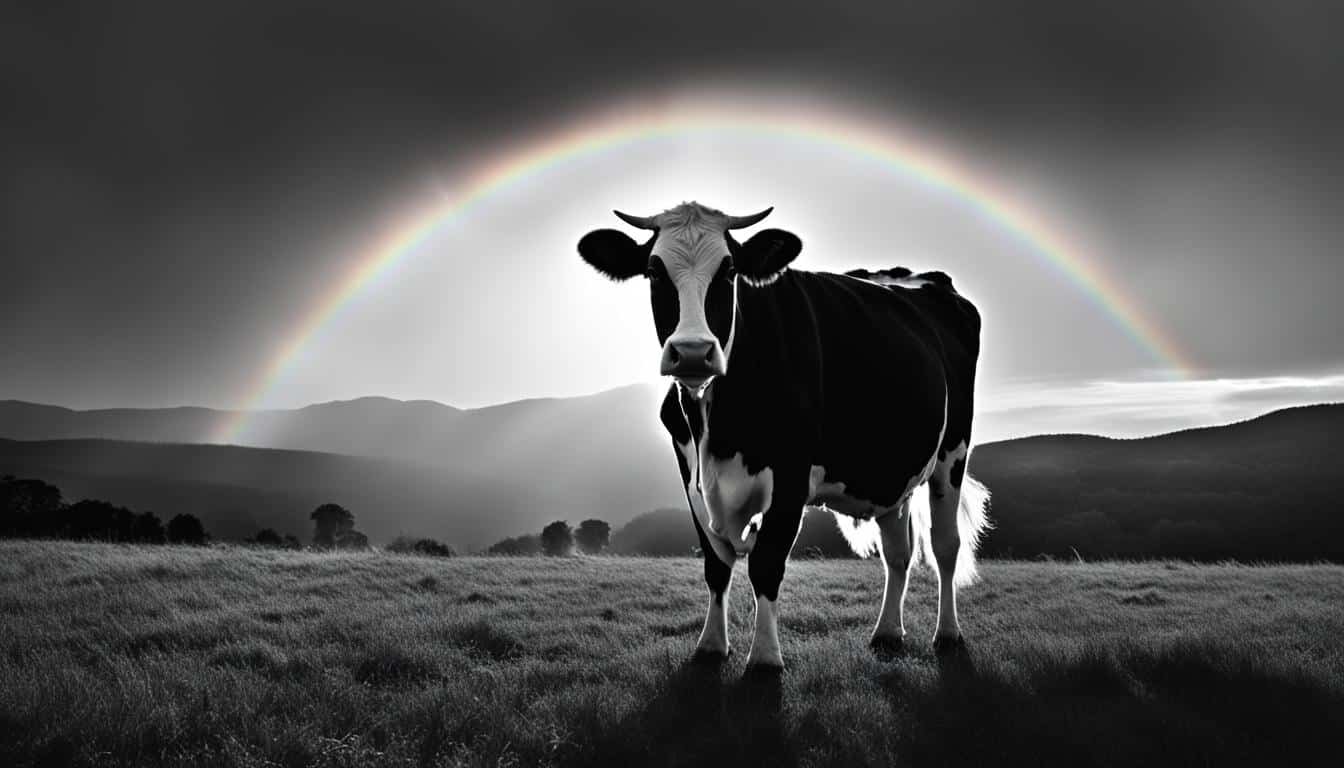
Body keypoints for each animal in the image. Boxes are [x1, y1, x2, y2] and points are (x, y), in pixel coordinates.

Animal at [577, 202, 990, 672]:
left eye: (729, 270)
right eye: (653, 270)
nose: (694, 352)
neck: (718, 431)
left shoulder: (791, 478)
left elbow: (766, 563)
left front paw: (764, 659)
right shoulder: (690, 472)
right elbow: (716, 564)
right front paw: (711, 646)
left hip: (953, 453)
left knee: (945, 545)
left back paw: (948, 634)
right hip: (892, 470)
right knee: (897, 552)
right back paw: (887, 632)